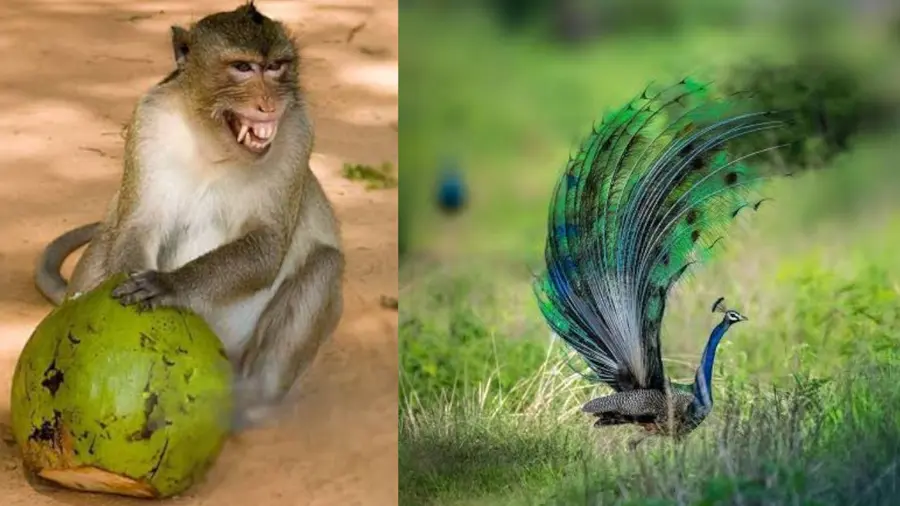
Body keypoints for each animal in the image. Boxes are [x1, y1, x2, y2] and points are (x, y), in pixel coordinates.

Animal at [33, 2, 344, 430]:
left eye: (277, 66)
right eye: (243, 67)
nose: (269, 104)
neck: (215, 143)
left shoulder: (298, 132)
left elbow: (268, 246)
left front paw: (169, 285)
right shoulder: (150, 121)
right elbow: (136, 225)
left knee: (326, 264)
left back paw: (249, 403)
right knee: (111, 227)